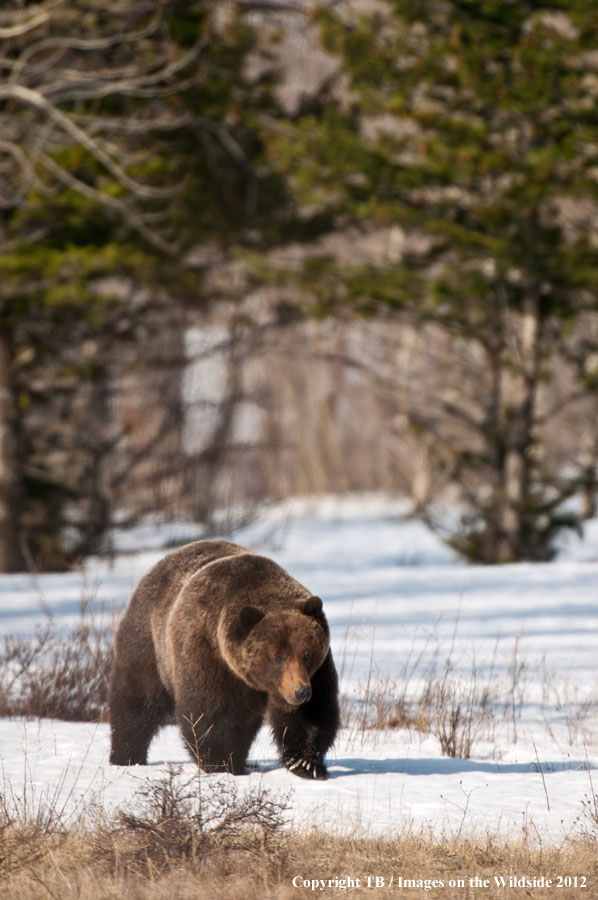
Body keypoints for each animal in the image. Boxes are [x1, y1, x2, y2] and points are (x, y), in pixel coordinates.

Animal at [109, 540, 340, 780]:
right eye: (277, 657)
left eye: (307, 654)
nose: (301, 691)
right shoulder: (210, 656)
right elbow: (212, 715)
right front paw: (224, 764)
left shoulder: (316, 672)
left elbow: (312, 713)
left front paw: (306, 763)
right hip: (150, 644)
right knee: (137, 700)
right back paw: (127, 756)